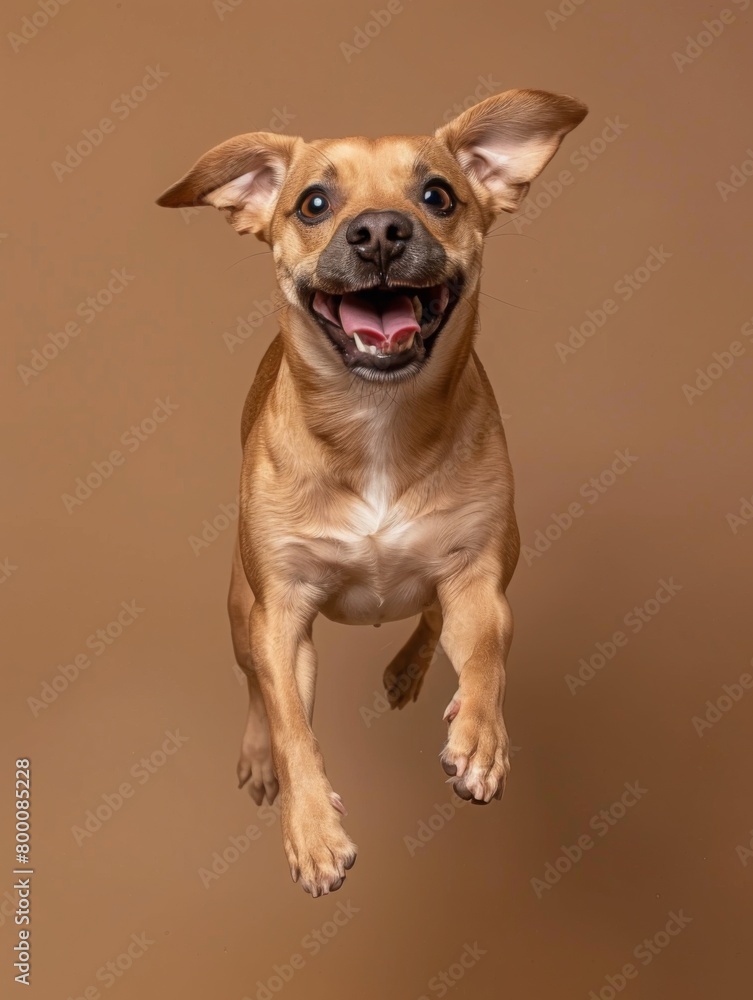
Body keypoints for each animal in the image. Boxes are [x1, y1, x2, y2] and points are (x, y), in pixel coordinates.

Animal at [157, 88, 588, 900]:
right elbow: (292, 727)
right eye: (314, 203)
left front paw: (480, 738)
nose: (381, 230)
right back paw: (262, 755)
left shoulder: (478, 577)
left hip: (497, 562)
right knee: (257, 689)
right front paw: (311, 832)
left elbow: (486, 653)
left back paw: (409, 674)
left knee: (434, 620)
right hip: (238, 607)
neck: (377, 422)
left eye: (438, 195)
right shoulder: (280, 616)